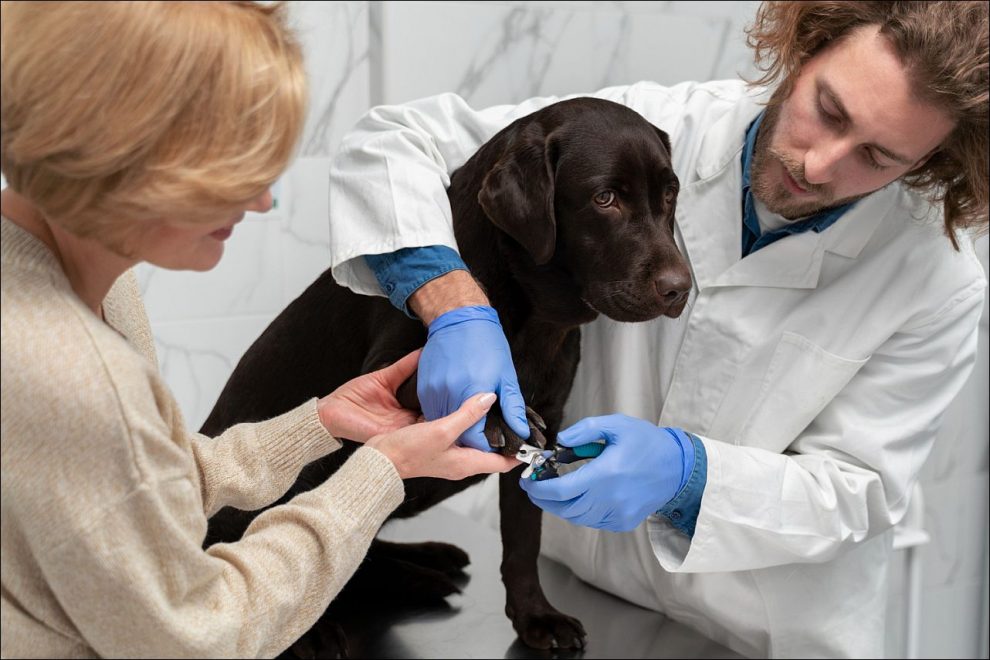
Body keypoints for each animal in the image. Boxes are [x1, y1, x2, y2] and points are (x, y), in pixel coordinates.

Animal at [203, 96, 688, 656]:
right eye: (605, 198)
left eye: (670, 194)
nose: (681, 288)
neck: (534, 313)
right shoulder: (385, 374)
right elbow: (457, 380)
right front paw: (492, 408)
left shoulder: (551, 421)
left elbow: (523, 539)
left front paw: (535, 617)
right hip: (293, 475)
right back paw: (323, 625)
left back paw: (426, 566)